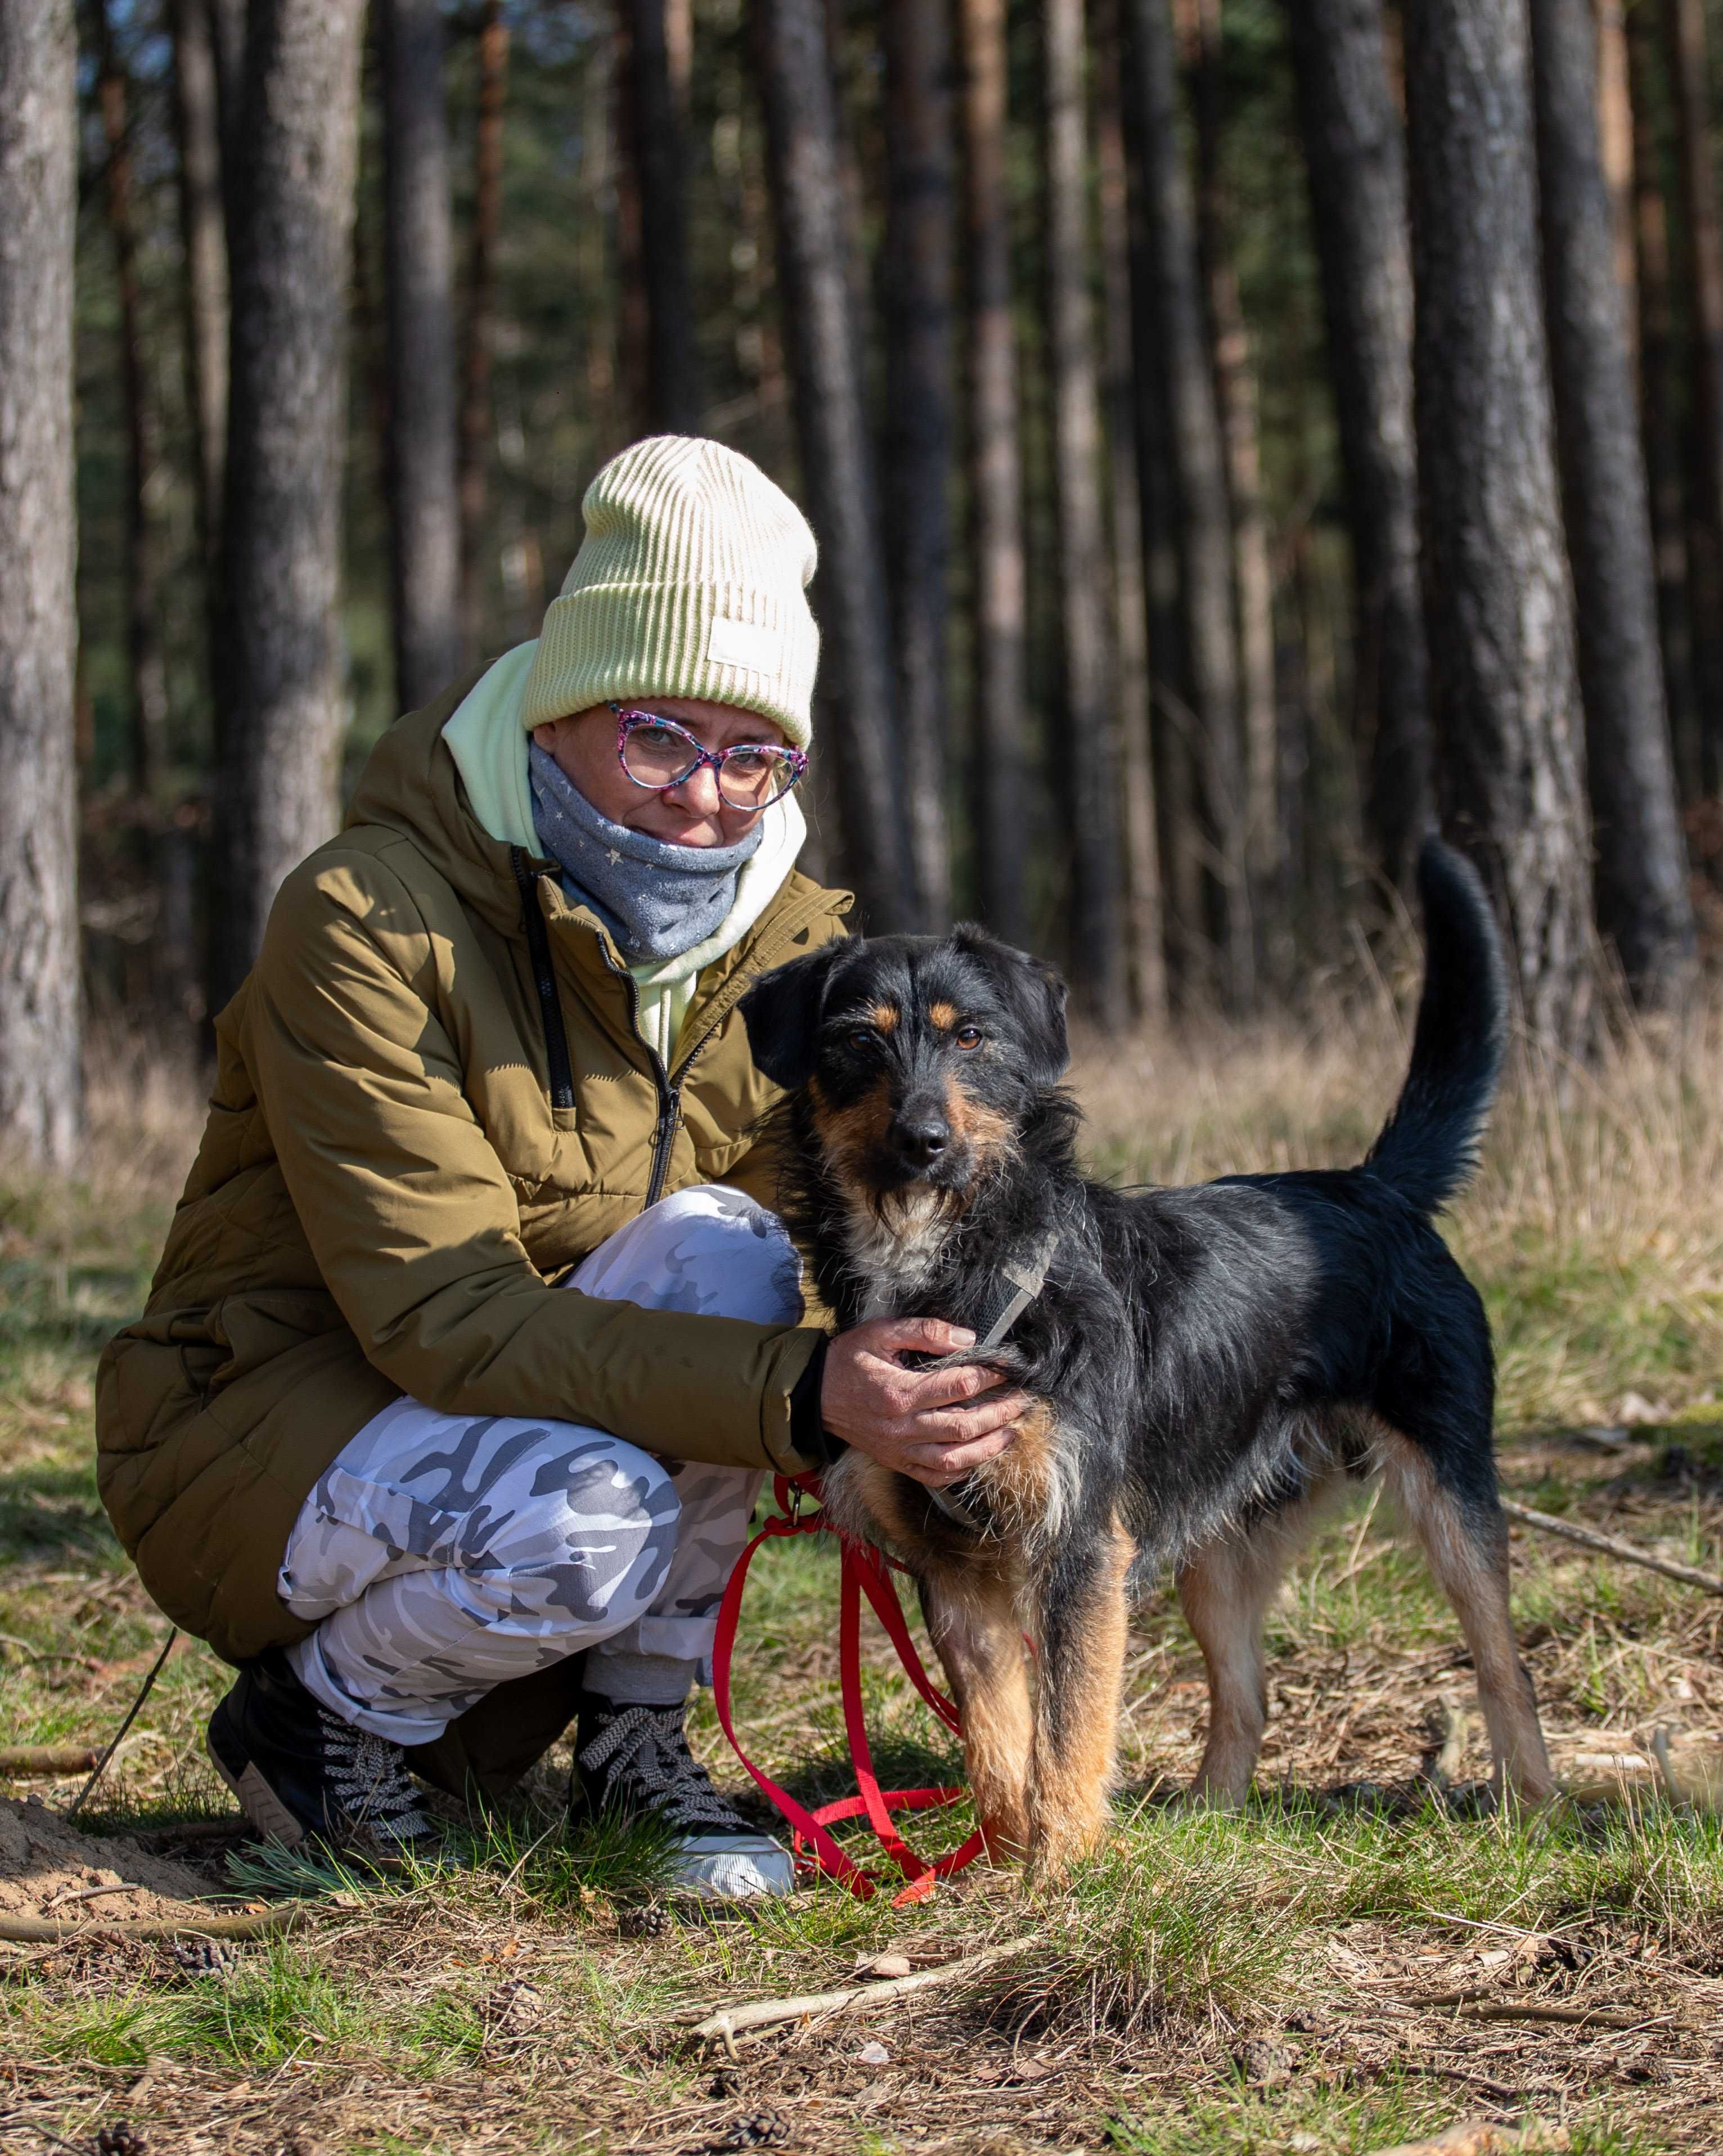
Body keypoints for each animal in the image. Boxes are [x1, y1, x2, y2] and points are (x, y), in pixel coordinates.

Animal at [746, 832, 1561, 1880]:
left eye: (969, 1039)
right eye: (856, 1041)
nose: (920, 1140)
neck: (959, 1267)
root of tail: (1372, 1185)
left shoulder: (1081, 1544)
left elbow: (1068, 1729)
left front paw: (1060, 1873)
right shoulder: (954, 1566)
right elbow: (997, 1739)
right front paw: (1001, 1865)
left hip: (1453, 1495)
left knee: (1506, 1667)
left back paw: (1533, 1810)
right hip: (1218, 1547)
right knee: (1246, 1694)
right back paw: (1205, 1820)